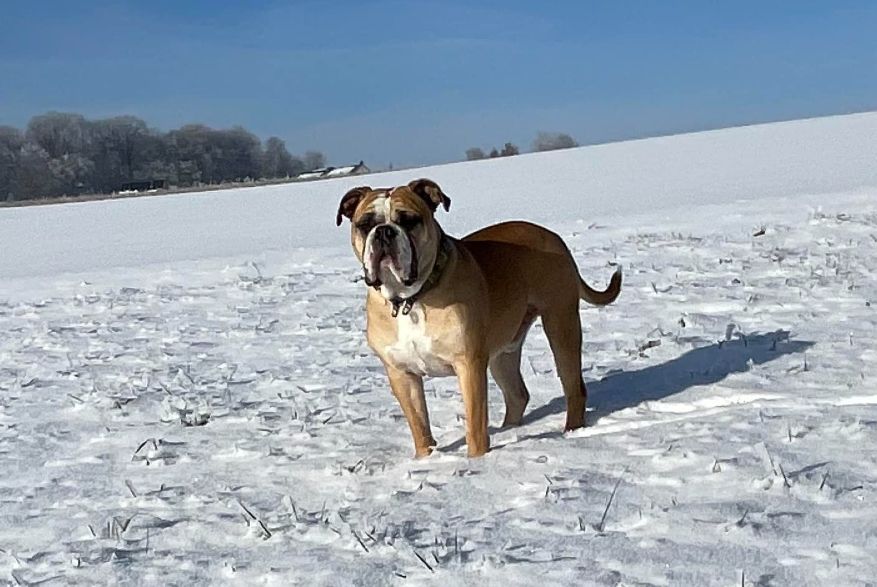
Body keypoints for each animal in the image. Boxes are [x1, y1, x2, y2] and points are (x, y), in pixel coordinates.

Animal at [336, 178, 621, 457]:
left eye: (409, 220)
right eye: (365, 225)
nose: (384, 232)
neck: (412, 299)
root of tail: (553, 237)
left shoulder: (469, 364)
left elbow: (475, 424)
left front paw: (477, 460)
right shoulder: (401, 374)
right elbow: (419, 425)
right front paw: (426, 458)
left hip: (560, 324)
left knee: (573, 386)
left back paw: (572, 431)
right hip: (504, 352)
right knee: (517, 394)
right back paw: (510, 430)